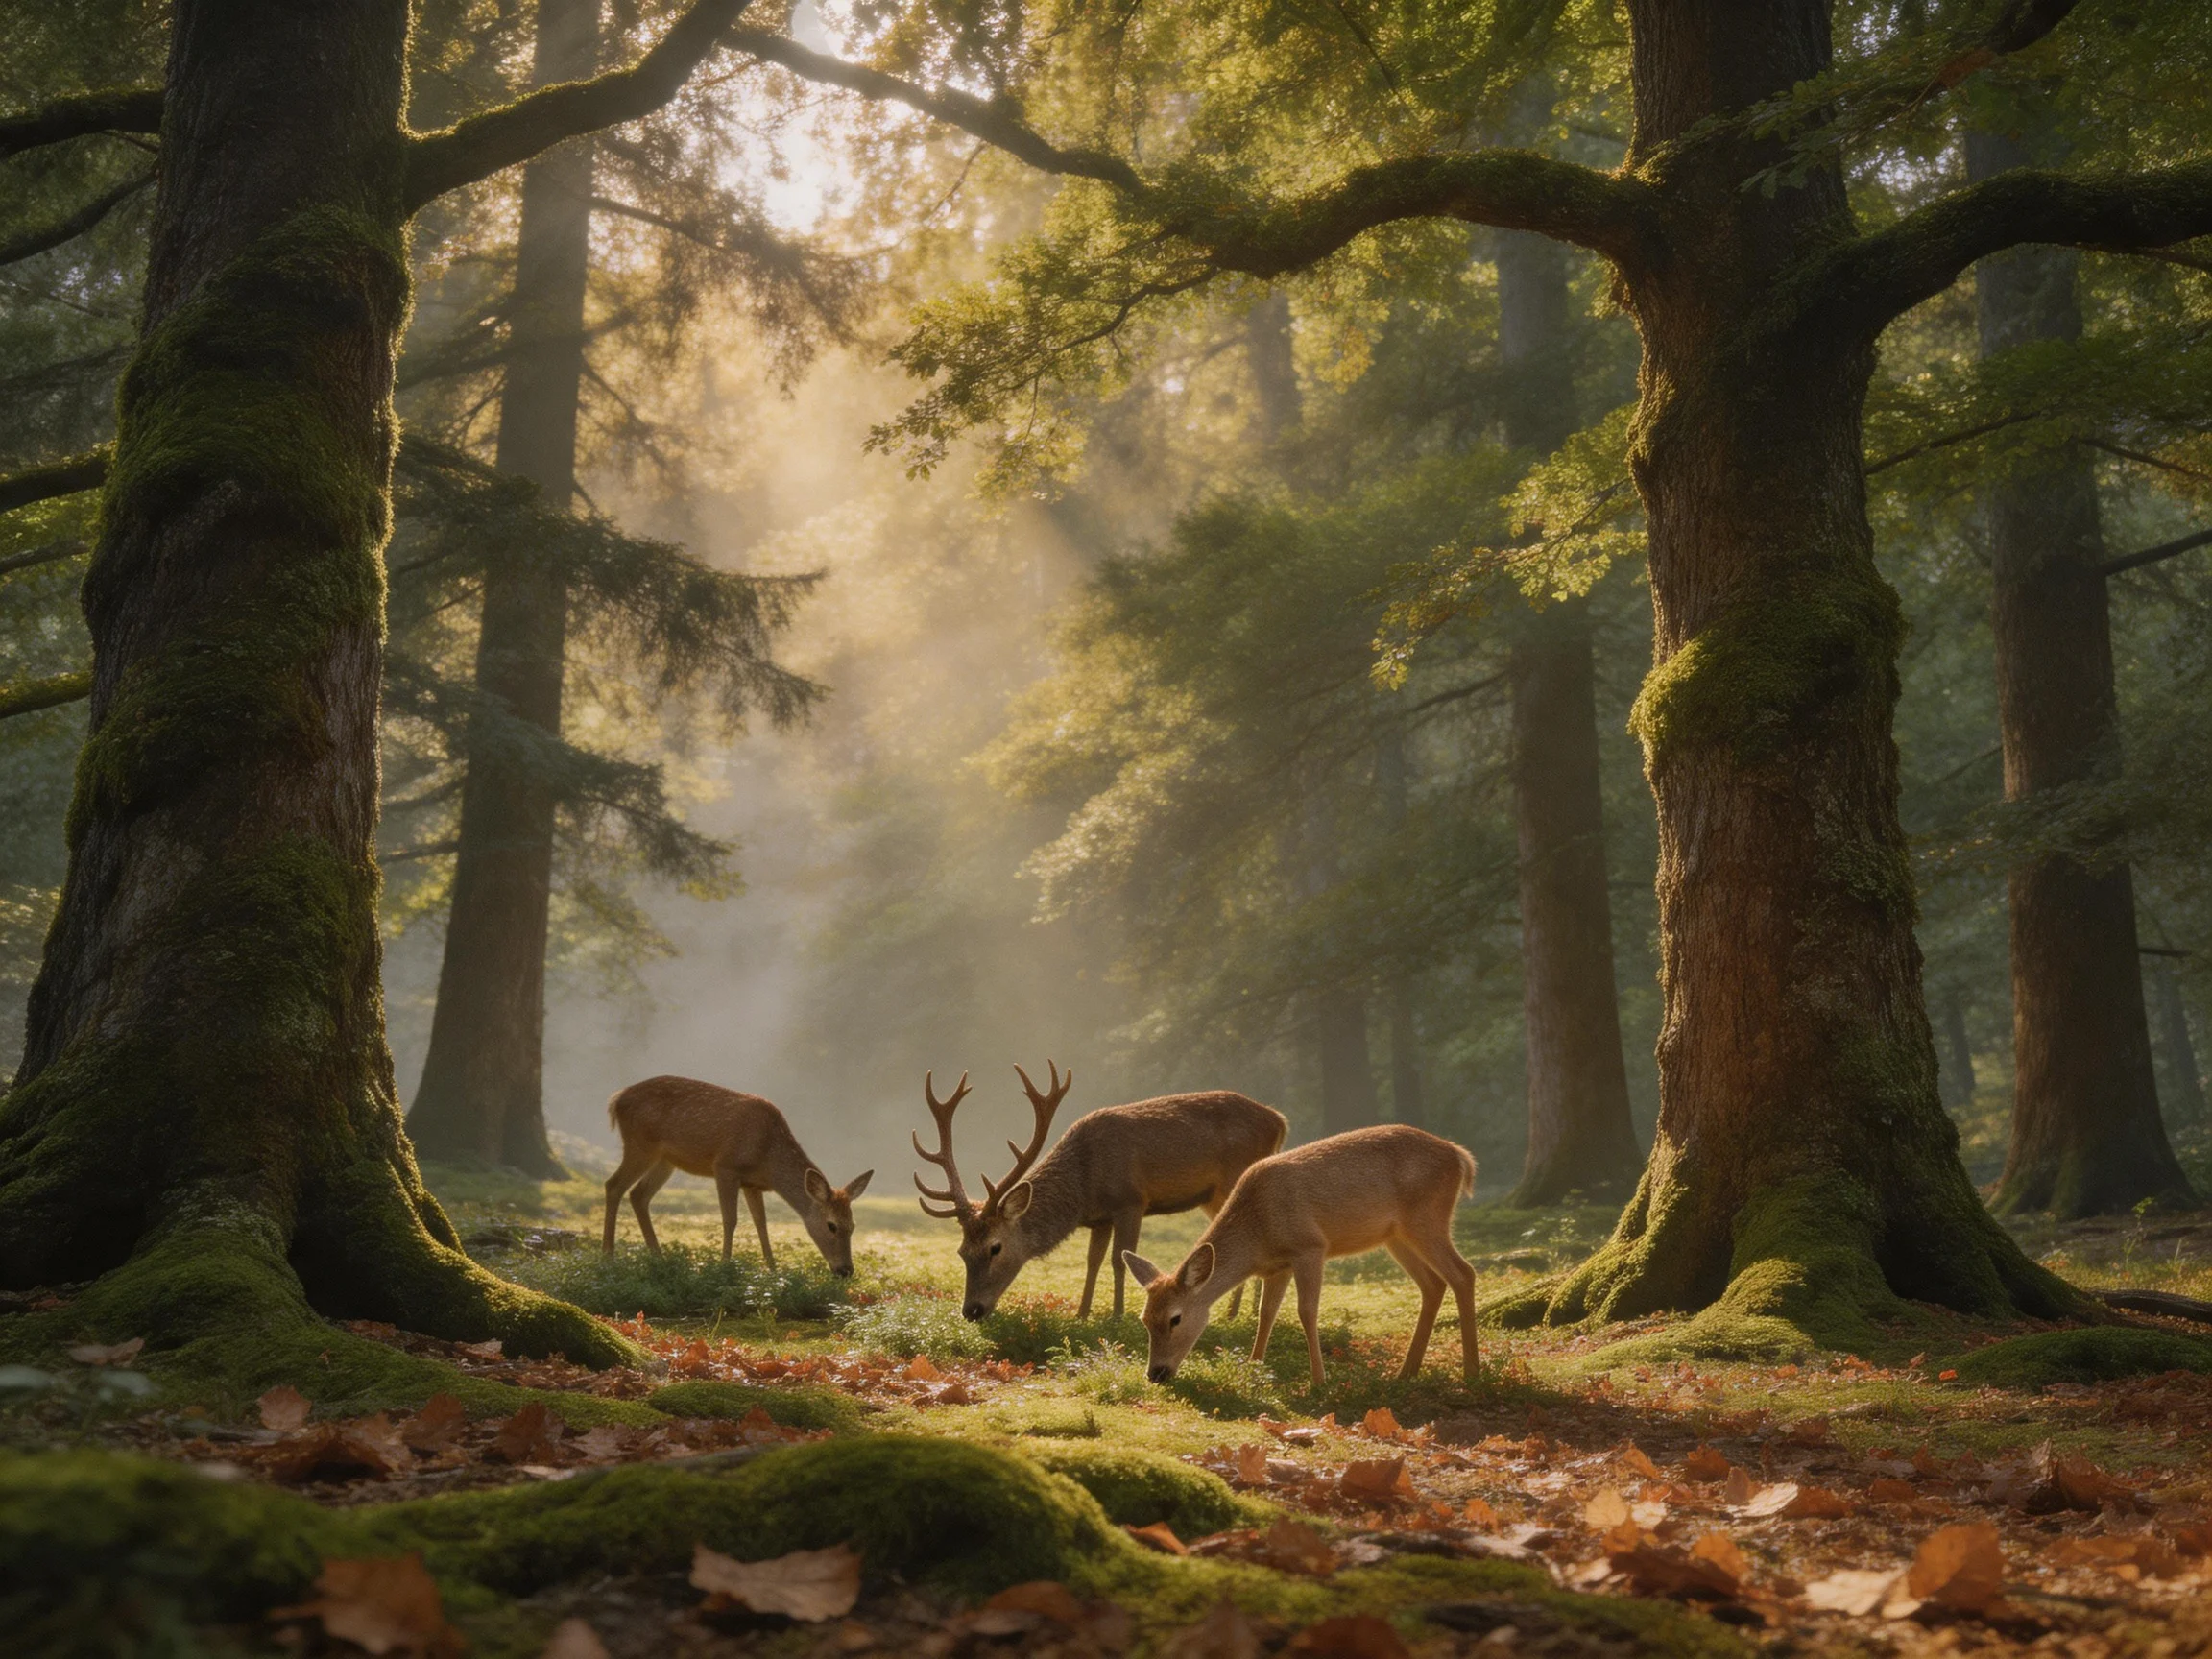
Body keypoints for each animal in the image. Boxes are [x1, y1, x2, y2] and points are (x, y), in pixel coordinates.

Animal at [602, 1076, 873, 1275]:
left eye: (852, 1225)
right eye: (831, 1225)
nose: (846, 1270)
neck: (767, 1157)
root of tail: (616, 1099)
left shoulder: (752, 1184)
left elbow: (761, 1223)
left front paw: (773, 1270)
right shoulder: (725, 1168)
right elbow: (730, 1219)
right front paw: (725, 1266)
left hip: (666, 1160)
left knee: (638, 1195)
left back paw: (658, 1258)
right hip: (640, 1145)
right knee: (613, 1185)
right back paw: (608, 1257)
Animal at [912, 1062, 1287, 1322]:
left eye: (995, 1247)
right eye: (962, 1251)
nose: (971, 1310)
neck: (1085, 1186)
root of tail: (1280, 1120)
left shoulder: (1131, 1201)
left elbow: (1119, 1259)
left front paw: (1117, 1315)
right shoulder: (1100, 1219)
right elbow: (1092, 1261)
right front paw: (1082, 1312)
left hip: (1234, 1180)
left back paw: (1239, 1312)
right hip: (1213, 1196)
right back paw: (1244, 1310)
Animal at [1123, 1123, 1479, 1387]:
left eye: (1175, 1318)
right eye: (1144, 1319)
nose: (1156, 1374)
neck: (1258, 1232)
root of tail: (1461, 1157)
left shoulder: (1310, 1246)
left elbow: (1306, 1311)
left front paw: (1319, 1381)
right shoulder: (1277, 1267)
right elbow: (1266, 1313)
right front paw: (1254, 1367)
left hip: (1427, 1218)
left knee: (1463, 1273)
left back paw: (1471, 1371)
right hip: (1395, 1236)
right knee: (1432, 1283)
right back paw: (1407, 1371)